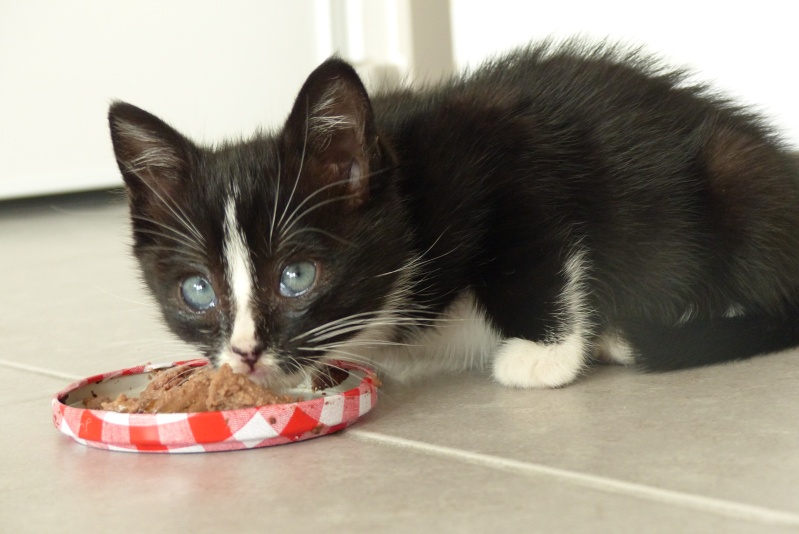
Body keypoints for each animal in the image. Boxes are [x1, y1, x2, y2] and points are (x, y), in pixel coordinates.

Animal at [108, 42, 799, 392]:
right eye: (197, 290)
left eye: (296, 276)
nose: (246, 353)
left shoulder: (508, 150)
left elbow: (533, 247)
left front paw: (544, 356)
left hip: (736, 174)